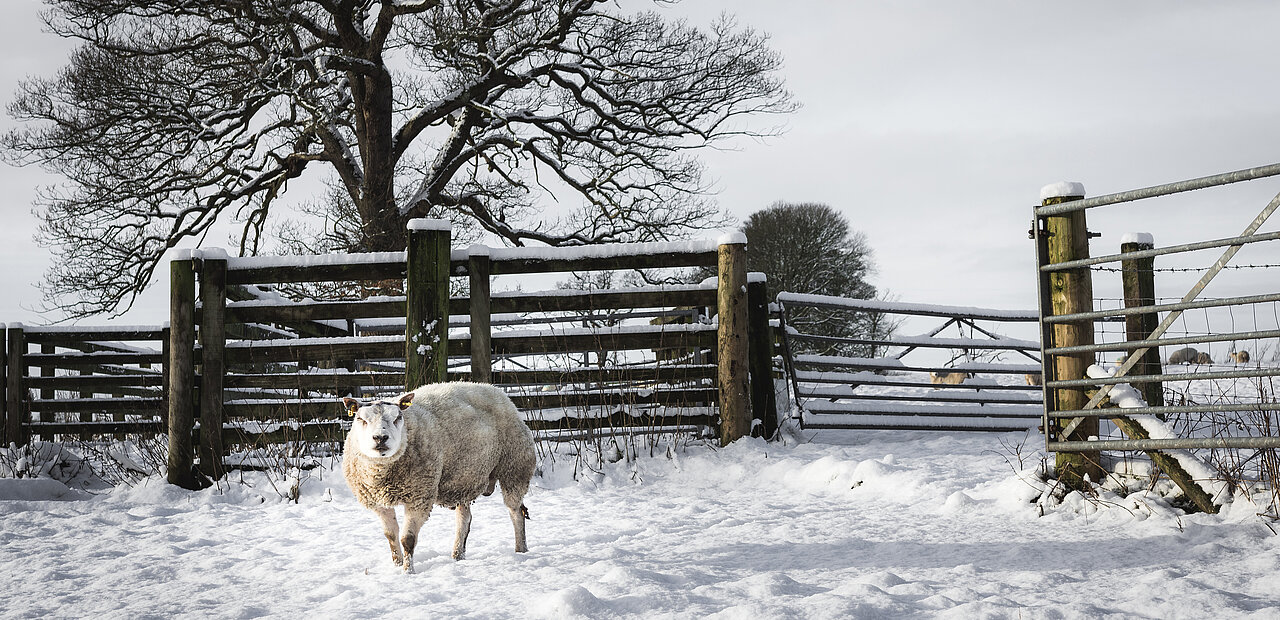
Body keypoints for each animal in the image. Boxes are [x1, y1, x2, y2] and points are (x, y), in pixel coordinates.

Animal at [340, 381, 535, 576]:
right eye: (361, 419)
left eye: (398, 418)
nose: (380, 438)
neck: (383, 475)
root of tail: (495, 390)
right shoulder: (378, 502)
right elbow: (391, 536)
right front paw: (397, 565)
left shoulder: (419, 498)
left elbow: (407, 539)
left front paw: (408, 572)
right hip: (464, 479)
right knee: (464, 519)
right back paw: (458, 555)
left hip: (514, 468)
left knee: (516, 512)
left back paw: (520, 549)